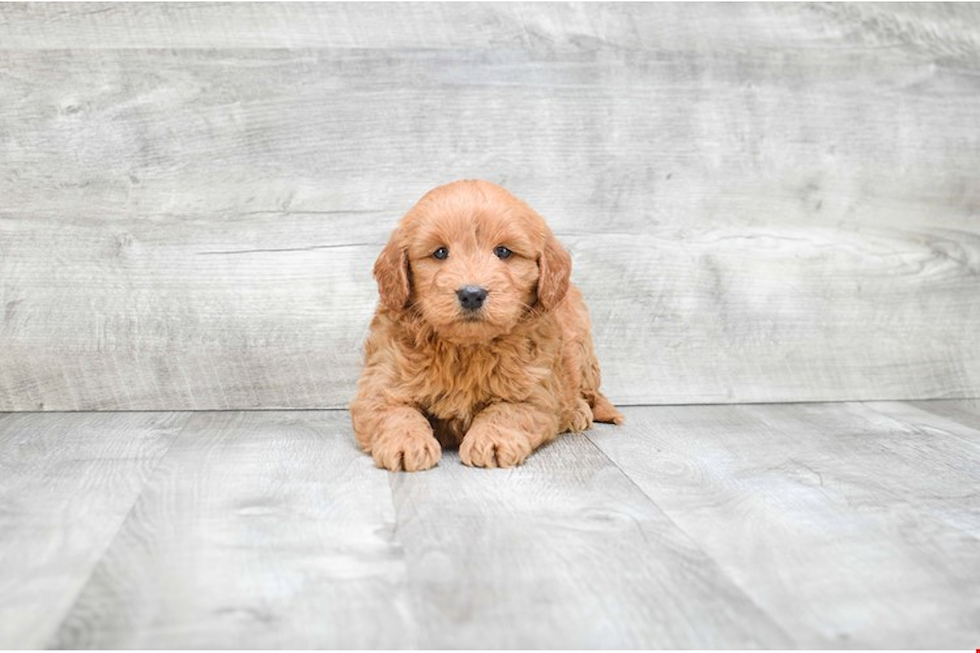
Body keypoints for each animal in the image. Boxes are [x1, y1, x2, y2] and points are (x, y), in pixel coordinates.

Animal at [350, 181, 620, 472]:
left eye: (503, 251)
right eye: (440, 252)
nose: (471, 294)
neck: (465, 349)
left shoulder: (535, 392)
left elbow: (506, 411)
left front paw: (492, 441)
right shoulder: (379, 383)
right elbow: (394, 411)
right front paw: (406, 442)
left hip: (583, 348)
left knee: (588, 392)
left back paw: (578, 411)